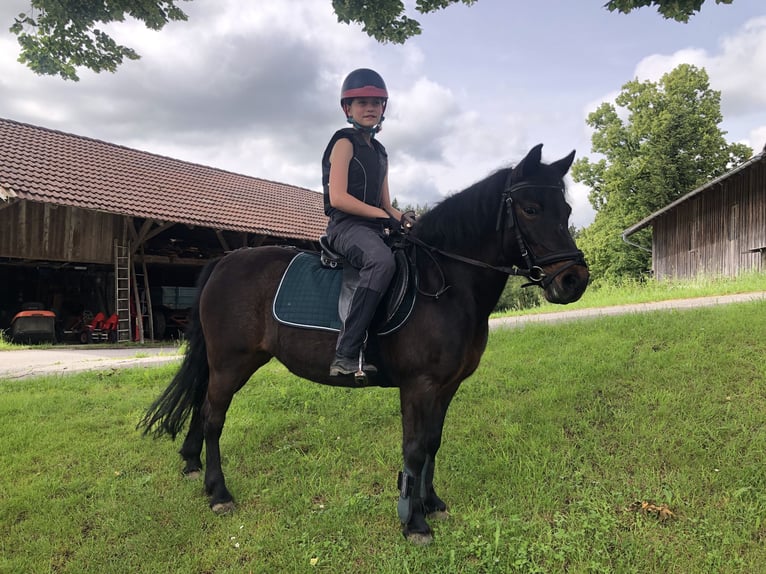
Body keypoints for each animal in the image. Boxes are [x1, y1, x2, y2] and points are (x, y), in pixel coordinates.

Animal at [140, 143, 592, 544]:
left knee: (201, 406)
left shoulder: (447, 386)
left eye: (567, 211)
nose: (574, 280)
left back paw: (192, 465)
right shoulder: (419, 385)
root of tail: (224, 261)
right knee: (214, 418)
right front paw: (414, 523)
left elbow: (433, 443)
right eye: (531, 209)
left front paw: (431, 504)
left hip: (223, 364)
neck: (446, 283)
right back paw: (218, 493)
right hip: (232, 362)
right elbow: (414, 449)